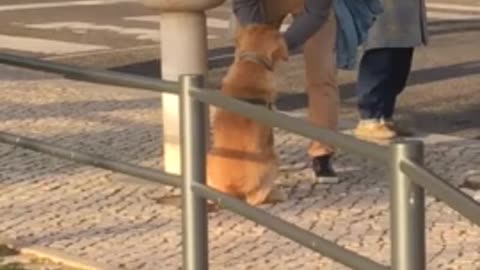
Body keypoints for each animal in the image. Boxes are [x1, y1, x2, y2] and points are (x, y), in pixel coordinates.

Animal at [206, 24, 288, 205]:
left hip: (209, 155)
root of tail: (232, 189)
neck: (252, 62)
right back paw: (276, 194)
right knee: (254, 199)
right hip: (273, 160)